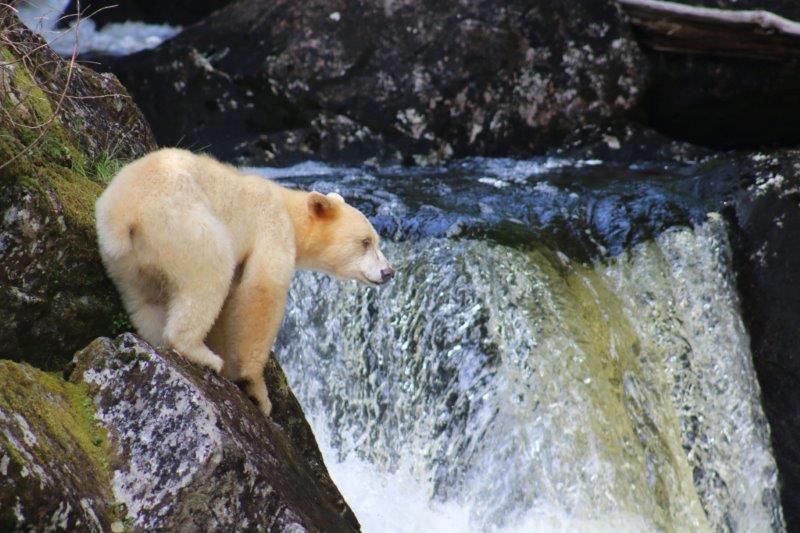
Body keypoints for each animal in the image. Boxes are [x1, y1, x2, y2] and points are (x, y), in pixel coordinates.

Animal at [95, 148, 394, 416]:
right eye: (365, 242)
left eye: (376, 240)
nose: (388, 272)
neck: (289, 207)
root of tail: (123, 213)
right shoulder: (272, 226)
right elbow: (260, 292)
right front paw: (256, 388)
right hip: (183, 225)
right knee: (212, 271)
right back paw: (200, 353)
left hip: (127, 262)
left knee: (147, 301)